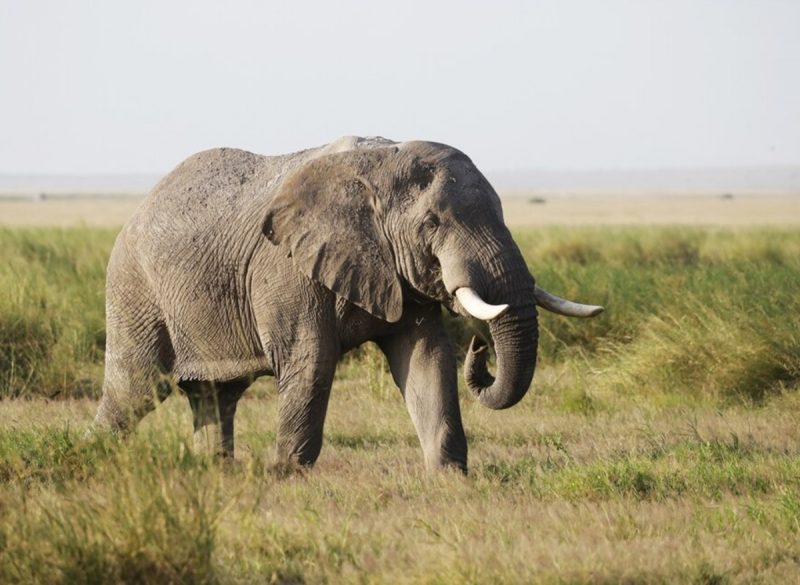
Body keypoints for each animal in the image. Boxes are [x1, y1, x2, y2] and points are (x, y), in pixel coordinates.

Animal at [92, 135, 600, 472]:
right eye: (432, 223)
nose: (480, 350)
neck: (378, 164)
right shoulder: (288, 268)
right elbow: (312, 362)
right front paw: (287, 481)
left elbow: (427, 359)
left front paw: (450, 480)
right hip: (134, 287)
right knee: (134, 388)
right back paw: (91, 459)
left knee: (215, 396)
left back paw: (216, 476)